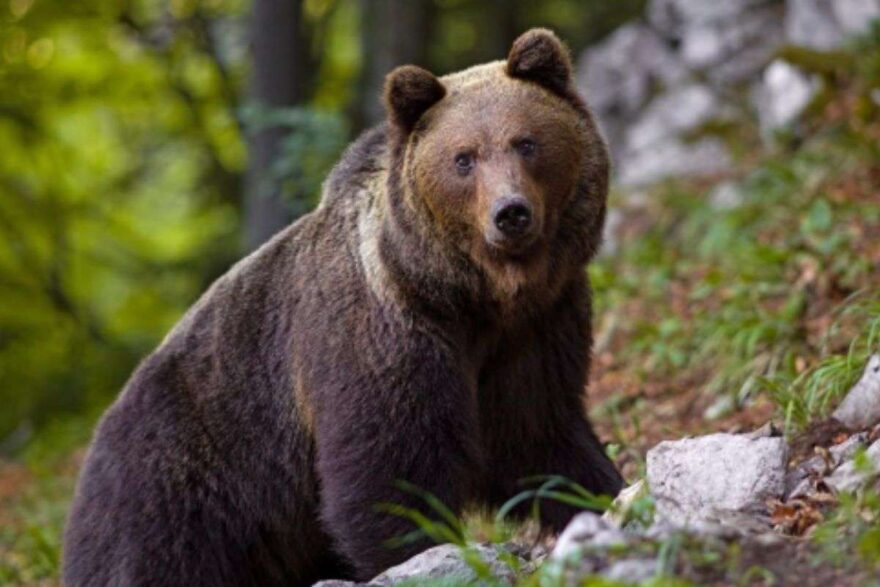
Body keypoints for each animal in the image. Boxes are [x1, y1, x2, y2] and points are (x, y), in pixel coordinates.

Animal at [62, 28, 622, 586]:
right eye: (464, 158)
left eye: (526, 143)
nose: (510, 213)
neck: (469, 297)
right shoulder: (383, 335)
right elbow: (390, 470)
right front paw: (422, 554)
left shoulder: (536, 329)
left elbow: (539, 434)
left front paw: (602, 497)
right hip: (179, 486)